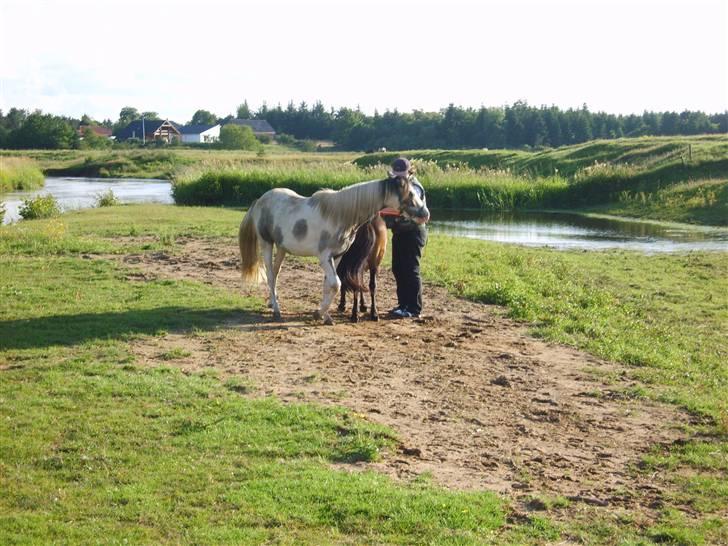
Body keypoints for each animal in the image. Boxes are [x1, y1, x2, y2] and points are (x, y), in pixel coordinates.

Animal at [238, 175, 429, 325]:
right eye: (410, 193)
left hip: (282, 247)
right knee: (270, 275)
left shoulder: (337, 256)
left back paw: (272, 303)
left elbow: (328, 285)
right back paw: (277, 311)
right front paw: (320, 313)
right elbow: (336, 284)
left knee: (275, 273)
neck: (339, 216)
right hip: (266, 244)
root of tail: (260, 200)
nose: (425, 214)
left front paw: (324, 316)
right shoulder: (324, 257)